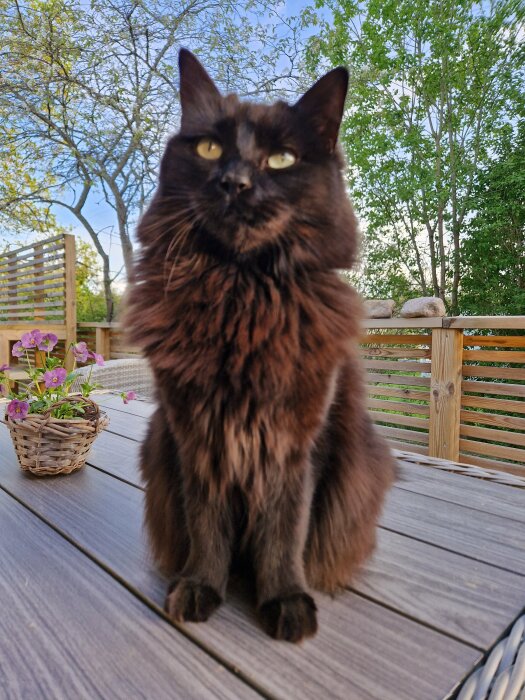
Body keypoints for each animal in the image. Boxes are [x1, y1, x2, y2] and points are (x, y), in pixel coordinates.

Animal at [126, 46, 392, 644]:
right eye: (209, 148)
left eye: (281, 159)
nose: (235, 182)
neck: (240, 294)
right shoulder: (194, 433)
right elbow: (207, 525)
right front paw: (201, 585)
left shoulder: (298, 440)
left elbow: (284, 531)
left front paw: (285, 599)